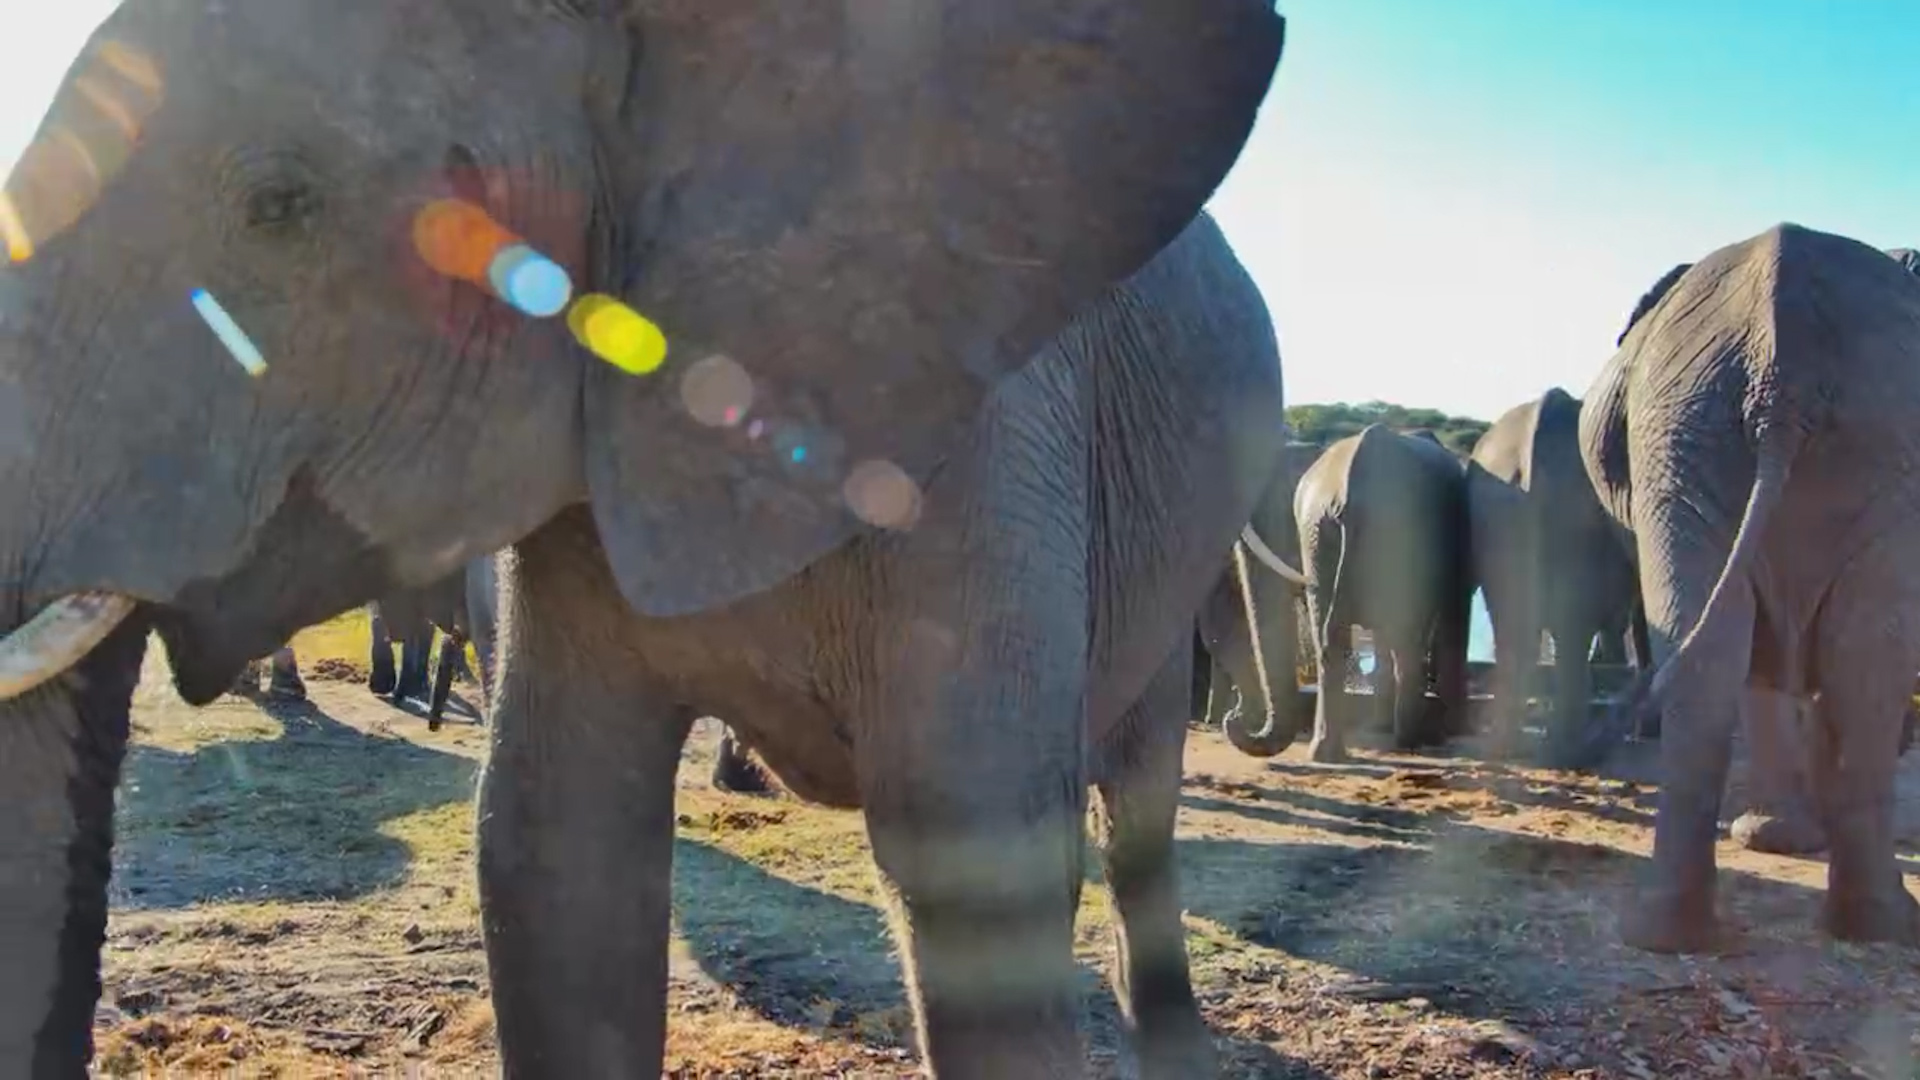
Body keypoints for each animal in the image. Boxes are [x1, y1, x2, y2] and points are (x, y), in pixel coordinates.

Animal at [1294, 425, 1472, 761]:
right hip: (1391, 531)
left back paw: (1326, 752)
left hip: (1316, 535)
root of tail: (1351, 486)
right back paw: (1408, 741)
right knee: (1404, 639)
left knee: (1330, 636)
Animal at [1575, 223, 1920, 953]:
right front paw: (1783, 840)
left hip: (1707, 434)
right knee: (1826, 654)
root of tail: (1779, 374)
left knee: (1834, 656)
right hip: (1697, 433)